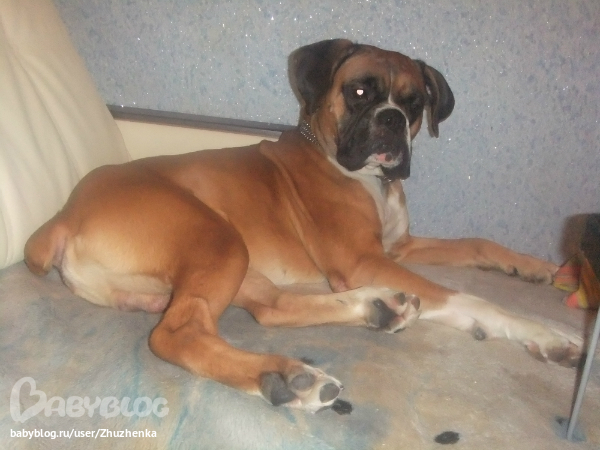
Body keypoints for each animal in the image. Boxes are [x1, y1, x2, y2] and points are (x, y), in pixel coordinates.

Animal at [25, 39, 581, 412]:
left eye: (414, 102)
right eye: (360, 91)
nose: (392, 120)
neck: (365, 176)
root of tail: (63, 216)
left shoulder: (397, 248)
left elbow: (477, 242)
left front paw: (537, 268)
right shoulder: (363, 260)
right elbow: (472, 300)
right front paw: (545, 332)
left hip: (238, 266)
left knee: (271, 310)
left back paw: (377, 307)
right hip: (220, 241)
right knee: (178, 334)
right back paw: (286, 376)